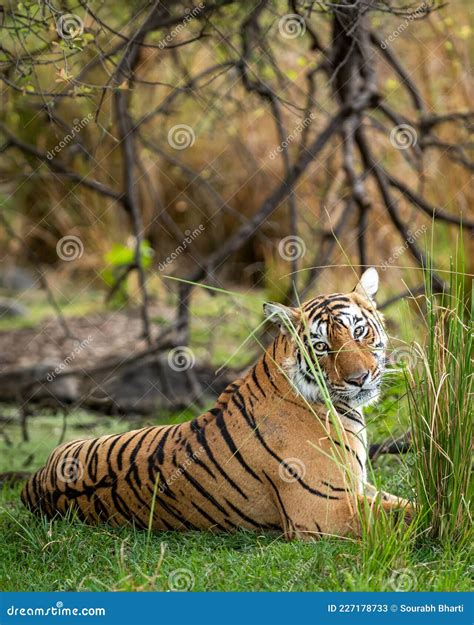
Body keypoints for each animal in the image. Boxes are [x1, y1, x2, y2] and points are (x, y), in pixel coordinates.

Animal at [21, 266, 412, 540]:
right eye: (320, 347)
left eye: (358, 331)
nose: (359, 378)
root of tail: (34, 483)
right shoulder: (325, 510)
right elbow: (410, 515)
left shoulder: (359, 488)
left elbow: (405, 503)